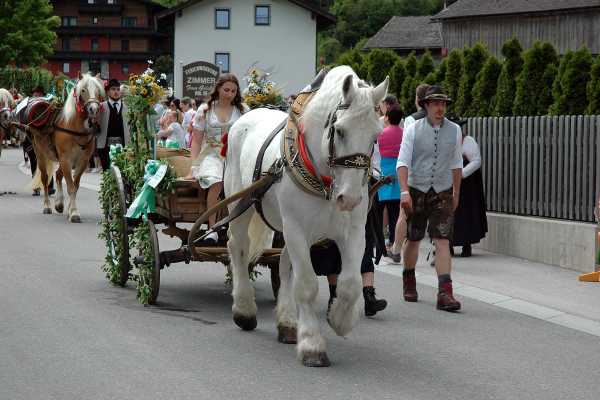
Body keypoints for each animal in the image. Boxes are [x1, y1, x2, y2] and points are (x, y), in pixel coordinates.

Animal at [30, 72, 104, 222]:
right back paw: (47, 206)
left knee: (58, 175)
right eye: (83, 90)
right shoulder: (66, 159)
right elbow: (70, 186)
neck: (75, 128)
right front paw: (74, 212)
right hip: (40, 154)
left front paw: (70, 209)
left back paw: (59, 203)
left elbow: (75, 185)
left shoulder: (83, 161)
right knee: (45, 179)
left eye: (98, 91)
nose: (94, 109)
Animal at [225, 66, 390, 366]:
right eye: (339, 130)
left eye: (376, 136)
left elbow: (350, 283)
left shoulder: (353, 231)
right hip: (242, 206)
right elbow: (307, 285)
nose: (349, 198)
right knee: (238, 248)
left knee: (283, 265)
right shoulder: (296, 228)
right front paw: (312, 344)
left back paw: (288, 322)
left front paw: (340, 319)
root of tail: (248, 115)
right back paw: (244, 309)